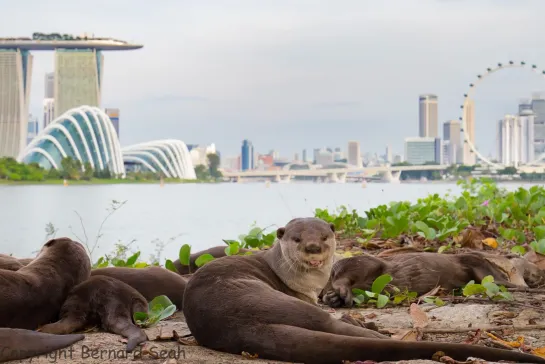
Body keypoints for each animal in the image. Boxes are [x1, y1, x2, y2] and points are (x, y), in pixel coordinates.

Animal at [183, 218, 544, 362]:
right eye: (297, 239)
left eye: (324, 237)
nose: (313, 247)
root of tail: (238, 324)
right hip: (273, 300)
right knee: (331, 322)